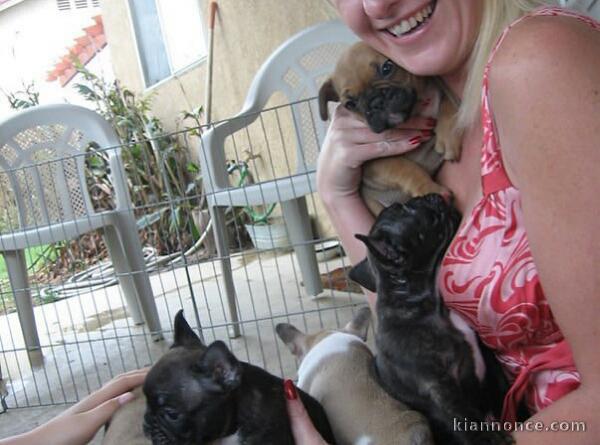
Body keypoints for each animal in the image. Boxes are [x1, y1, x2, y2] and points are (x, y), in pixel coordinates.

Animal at [318, 42, 464, 216]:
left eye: (387, 68)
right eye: (350, 104)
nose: (376, 102)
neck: (416, 110)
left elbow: (448, 102)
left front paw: (448, 133)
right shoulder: (375, 164)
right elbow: (405, 168)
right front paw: (430, 189)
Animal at [350, 194, 512, 444]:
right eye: (403, 208)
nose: (430, 195)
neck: (432, 307)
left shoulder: (488, 359)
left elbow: (502, 389)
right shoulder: (438, 388)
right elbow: (465, 417)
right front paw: (491, 439)